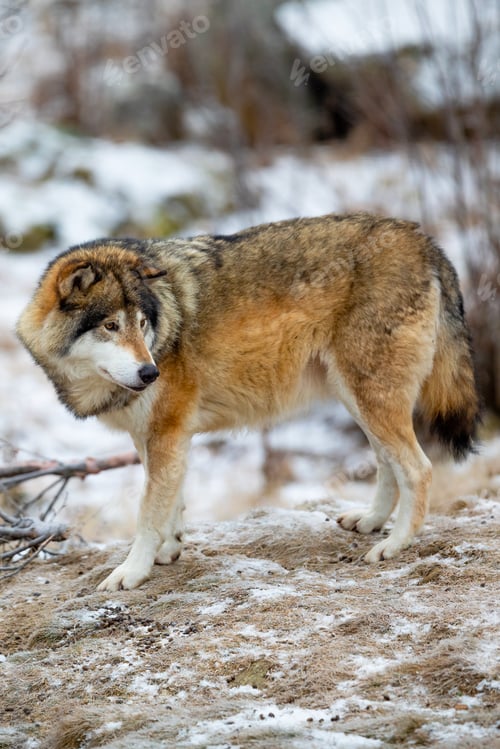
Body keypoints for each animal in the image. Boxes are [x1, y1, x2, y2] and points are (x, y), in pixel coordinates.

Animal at [17, 213, 480, 591]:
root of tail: (422, 238)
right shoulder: (157, 437)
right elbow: (172, 500)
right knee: (387, 462)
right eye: (111, 326)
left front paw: (131, 572)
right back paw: (370, 522)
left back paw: (394, 545)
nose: (151, 374)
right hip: (358, 398)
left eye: (142, 323)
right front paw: (170, 549)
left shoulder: (167, 432)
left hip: (369, 396)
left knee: (418, 469)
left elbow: (148, 512)